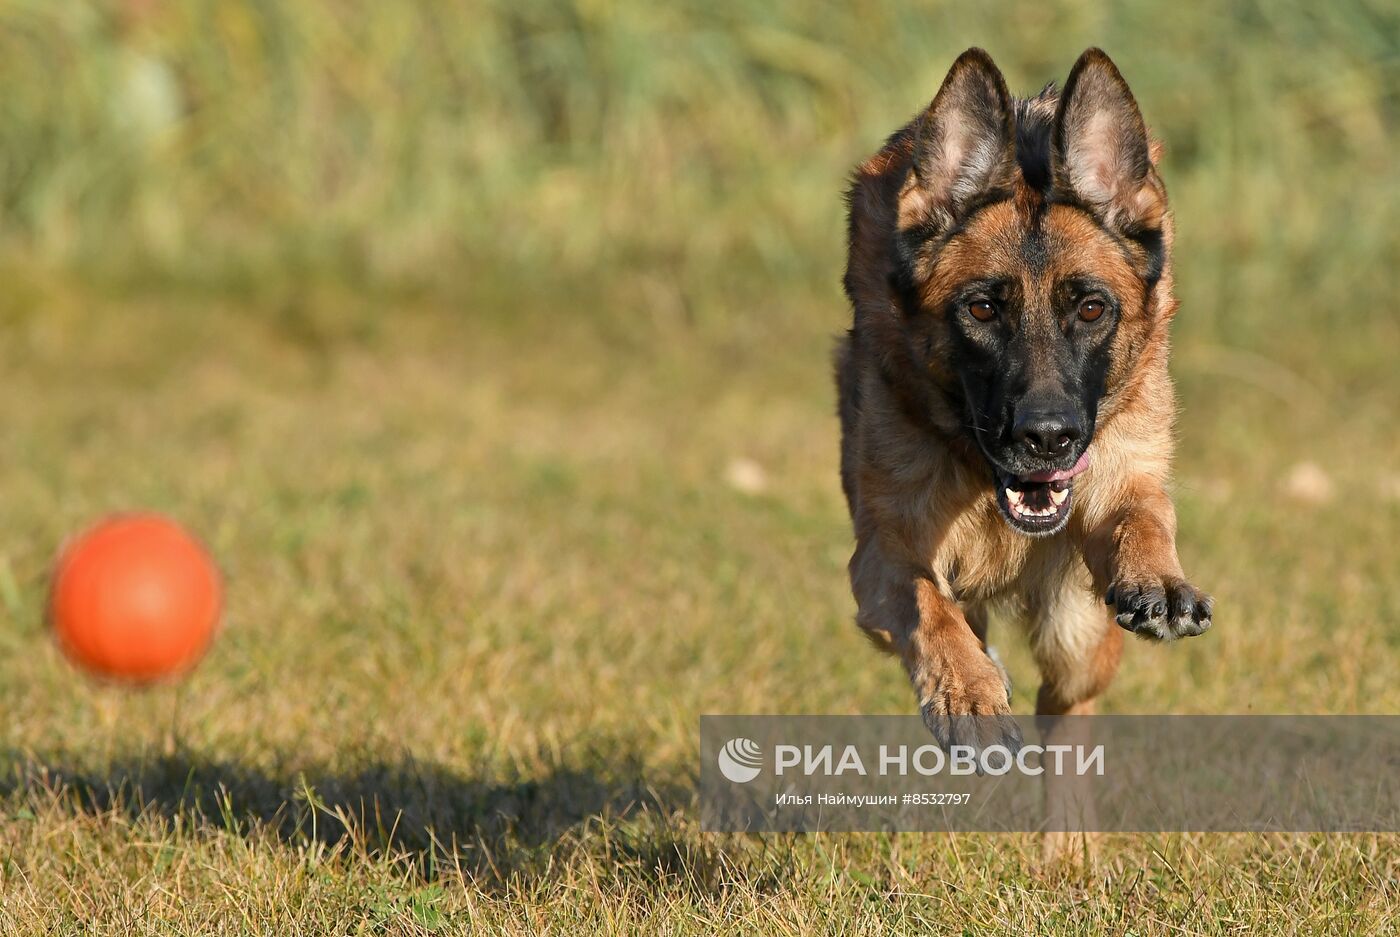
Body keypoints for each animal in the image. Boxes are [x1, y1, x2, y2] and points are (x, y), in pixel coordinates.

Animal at [834, 49, 1209, 750]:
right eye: (982, 309)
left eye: (1090, 309)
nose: (1047, 439)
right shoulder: (883, 555)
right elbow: (930, 606)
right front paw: (968, 693)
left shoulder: (1121, 483)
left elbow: (1142, 518)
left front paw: (1160, 579)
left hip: (1076, 642)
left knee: (1066, 709)